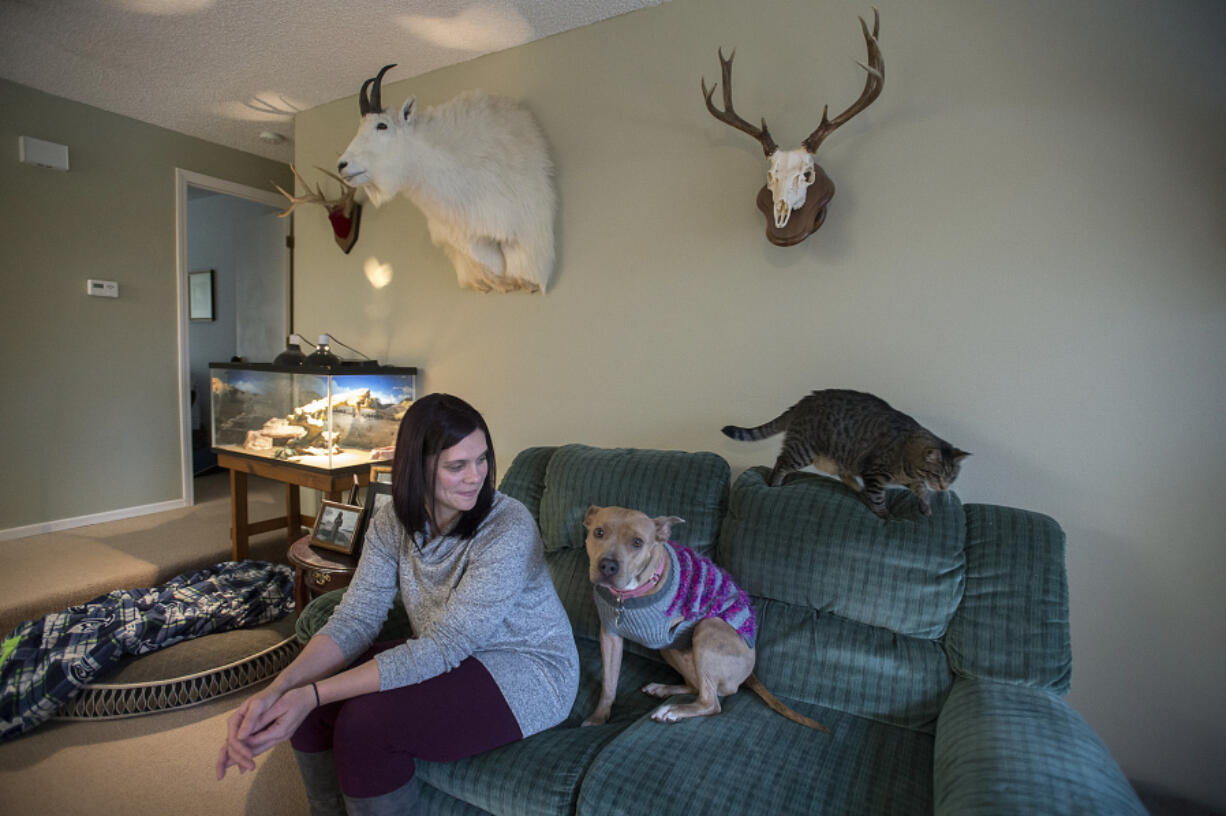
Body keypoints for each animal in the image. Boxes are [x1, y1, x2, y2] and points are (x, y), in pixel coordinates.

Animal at [578, 504, 828, 725]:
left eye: (637, 542)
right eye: (598, 532)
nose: (608, 566)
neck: (626, 596)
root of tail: (751, 672)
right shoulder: (610, 636)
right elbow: (609, 683)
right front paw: (598, 718)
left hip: (707, 630)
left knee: (710, 701)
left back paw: (673, 711)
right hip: (670, 651)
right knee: (696, 686)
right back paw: (663, 689)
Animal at [715, 389, 966, 517]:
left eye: (952, 477)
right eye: (938, 474)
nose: (943, 486)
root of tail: (803, 401)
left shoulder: (908, 479)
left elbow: (921, 490)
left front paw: (926, 507)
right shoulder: (875, 473)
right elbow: (879, 498)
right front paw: (885, 514)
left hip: (834, 458)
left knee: (845, 476)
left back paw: (858, 490)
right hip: (803, 449)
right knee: (781, 462)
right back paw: (774, 484)